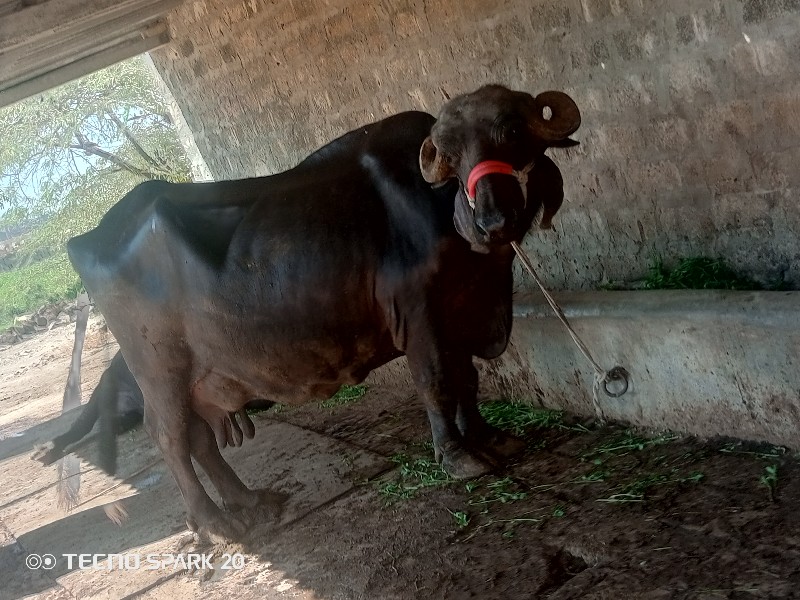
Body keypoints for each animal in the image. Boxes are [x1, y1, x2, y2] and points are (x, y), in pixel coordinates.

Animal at [67, 84, 580, 540]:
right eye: (451, 155)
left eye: (513, 130)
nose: (492, 220)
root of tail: (89, 237)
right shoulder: (419, 317)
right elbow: (437, 383)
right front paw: (458, 457)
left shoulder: (462, 313)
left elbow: (468, 379)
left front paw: (489, 438)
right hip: (160, 373)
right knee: (170, 437)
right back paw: (217, 523)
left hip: (200, 379)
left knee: (199, 436)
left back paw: (249, 502)